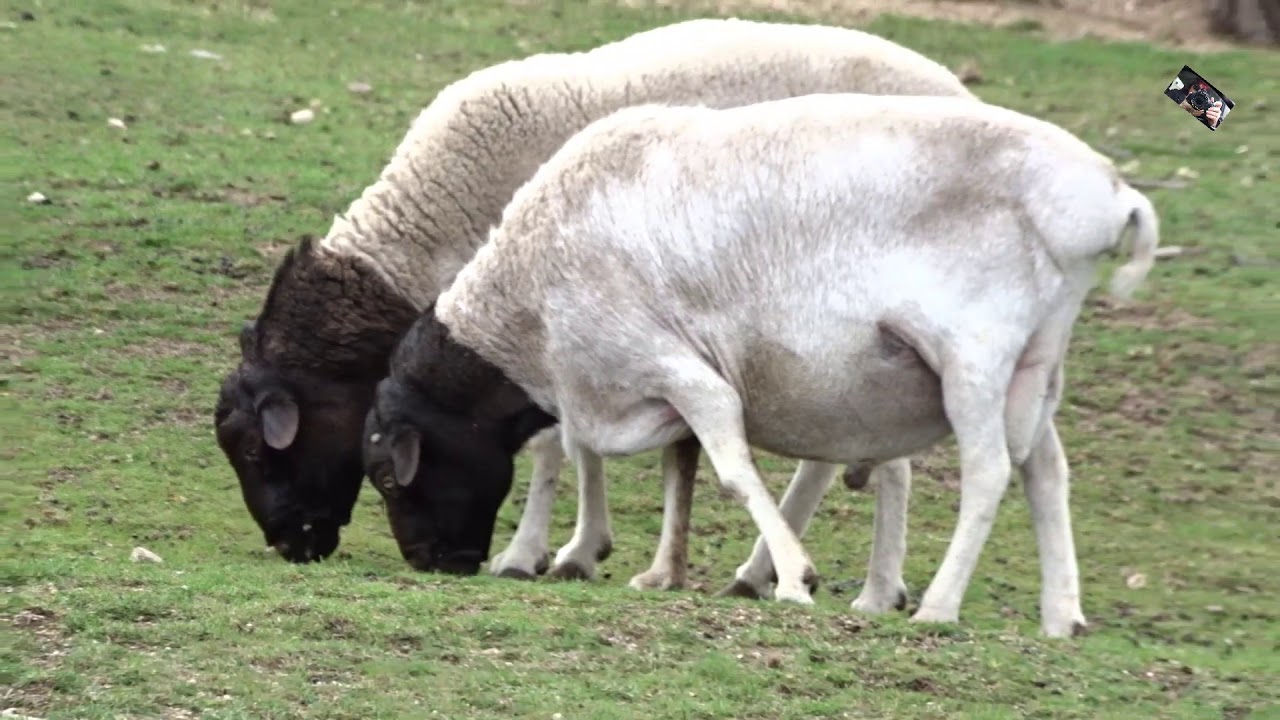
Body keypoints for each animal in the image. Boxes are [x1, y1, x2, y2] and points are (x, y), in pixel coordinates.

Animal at [212, 16, 978, 572]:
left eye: (253, 451)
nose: (289, 544)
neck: (437, 222)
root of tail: (964, 94)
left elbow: (557, 443)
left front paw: (535, 553)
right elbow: (581, 436)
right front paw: (583, 548)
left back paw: (821, 577)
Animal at [361, 92, 1160, 637]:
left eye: (390, 477)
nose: (432, 562)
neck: (525, 304)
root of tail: (1110, 195)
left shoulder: (673, 366)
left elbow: (728, 468)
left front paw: (794, 579)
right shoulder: (630, 381)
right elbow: (664, 465)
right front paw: (657, 570)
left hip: (975, 357)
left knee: (991, 472)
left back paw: (936, 606)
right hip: (1037, 360)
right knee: (1045, 470)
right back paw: (1060, 616)